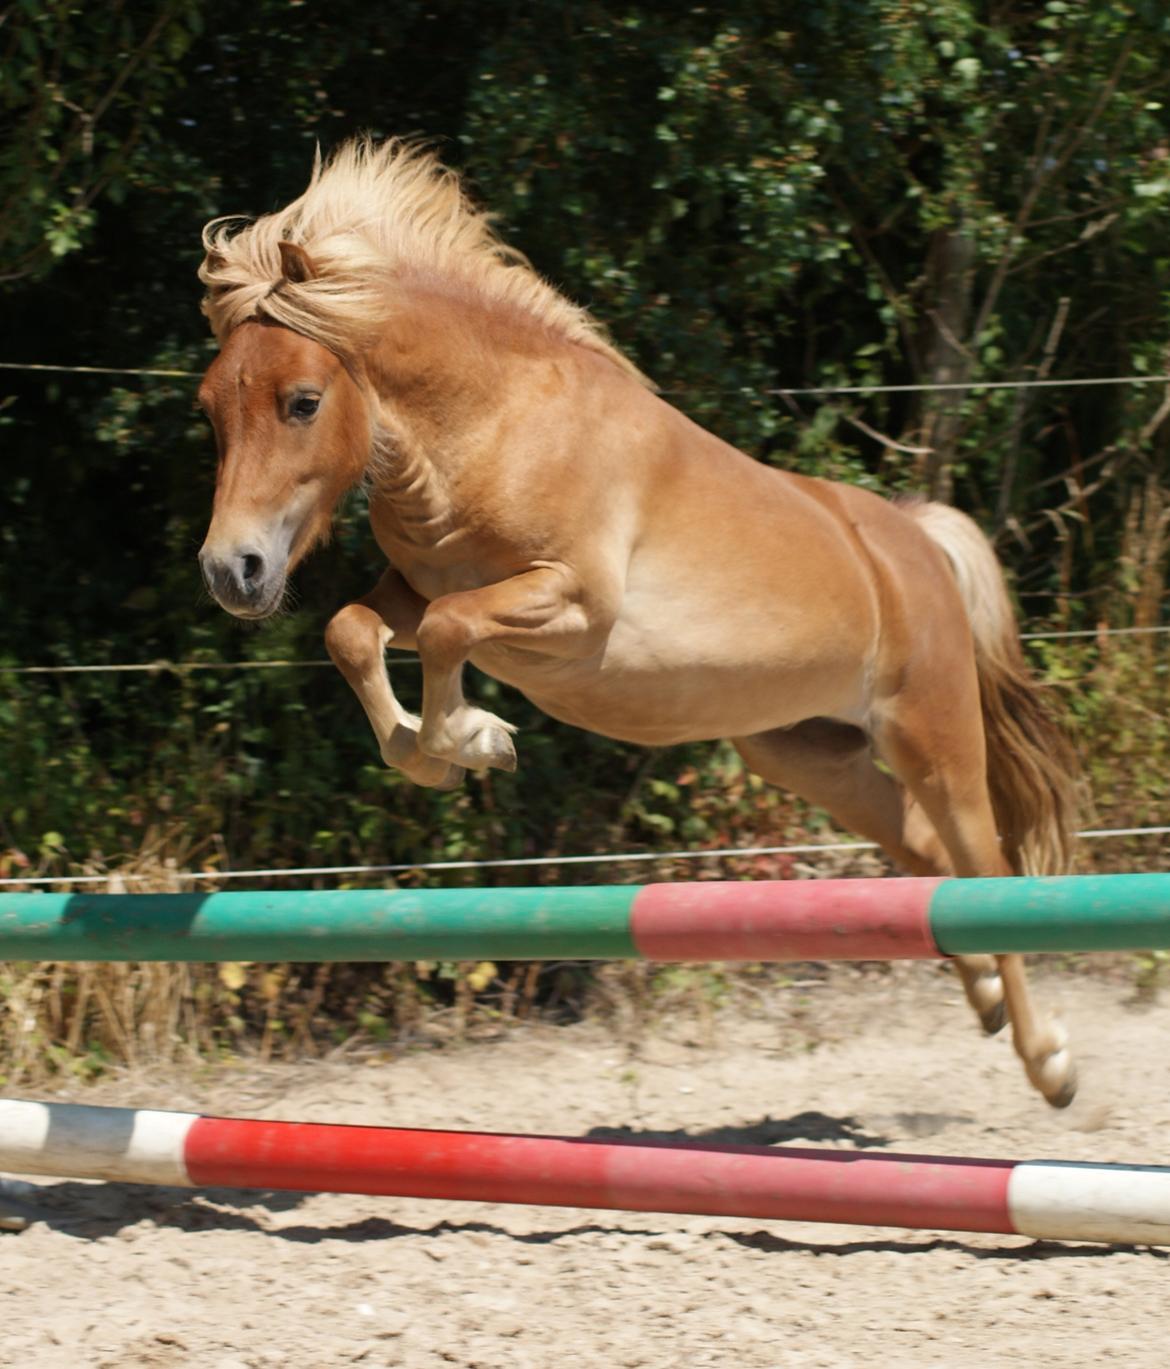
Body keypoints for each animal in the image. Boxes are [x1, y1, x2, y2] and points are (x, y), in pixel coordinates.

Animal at [198, 136, 1078, 1100]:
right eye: (211, 408)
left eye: (303, 400)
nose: (231, 571)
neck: (493, 426)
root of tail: (913, 539)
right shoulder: (417, 581)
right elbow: (356, 631)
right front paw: (433, 751)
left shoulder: (572, 609)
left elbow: (448, 632)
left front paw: (471, 739)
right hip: (808, 753)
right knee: (925, 850)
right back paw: (986, 996)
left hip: (934, 735)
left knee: (987, 864)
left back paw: (1050, 1061)